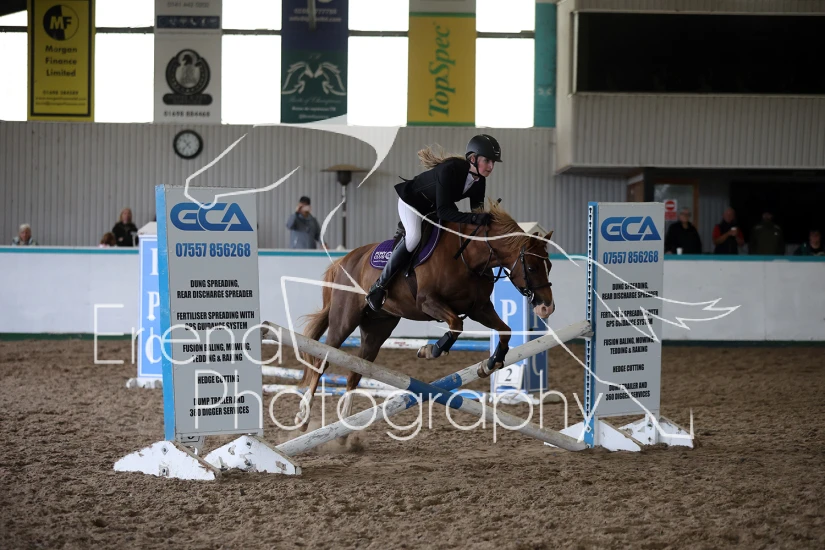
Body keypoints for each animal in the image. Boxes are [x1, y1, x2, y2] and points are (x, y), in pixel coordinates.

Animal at [294, 200, 556, 429]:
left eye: (549, 266)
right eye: (531, 267)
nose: (547, 308)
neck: (468, 256)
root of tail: (345, 260)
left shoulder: (479, 308)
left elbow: (504, 331)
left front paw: (490, 364)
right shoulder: (428, 302)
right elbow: (456, 324)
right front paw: (431, 349)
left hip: (377, 327)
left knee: (356, 370)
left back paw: (347, 427)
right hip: (344, 319)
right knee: (321, 362)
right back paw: (303, 416)